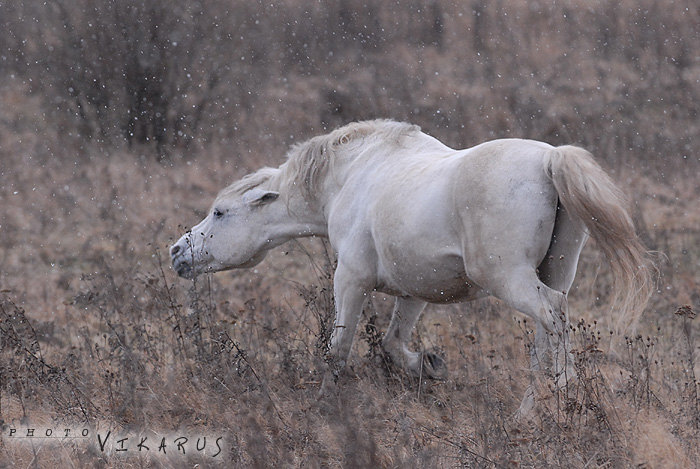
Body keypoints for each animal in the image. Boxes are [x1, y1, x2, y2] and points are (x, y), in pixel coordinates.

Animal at [170, 119, 652, 414]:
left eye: (220, 213)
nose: (177, 253)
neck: (352, 176)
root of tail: (550, 160)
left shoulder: (351, 280)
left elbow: (337, 349)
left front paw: (324, 406)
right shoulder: (415, 291)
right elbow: (392, 344)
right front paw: (431, 366)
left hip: (509, 279)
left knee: (552, 315)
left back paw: (565, 397)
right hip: (553, 273)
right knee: (546, 334)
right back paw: (530, 411)